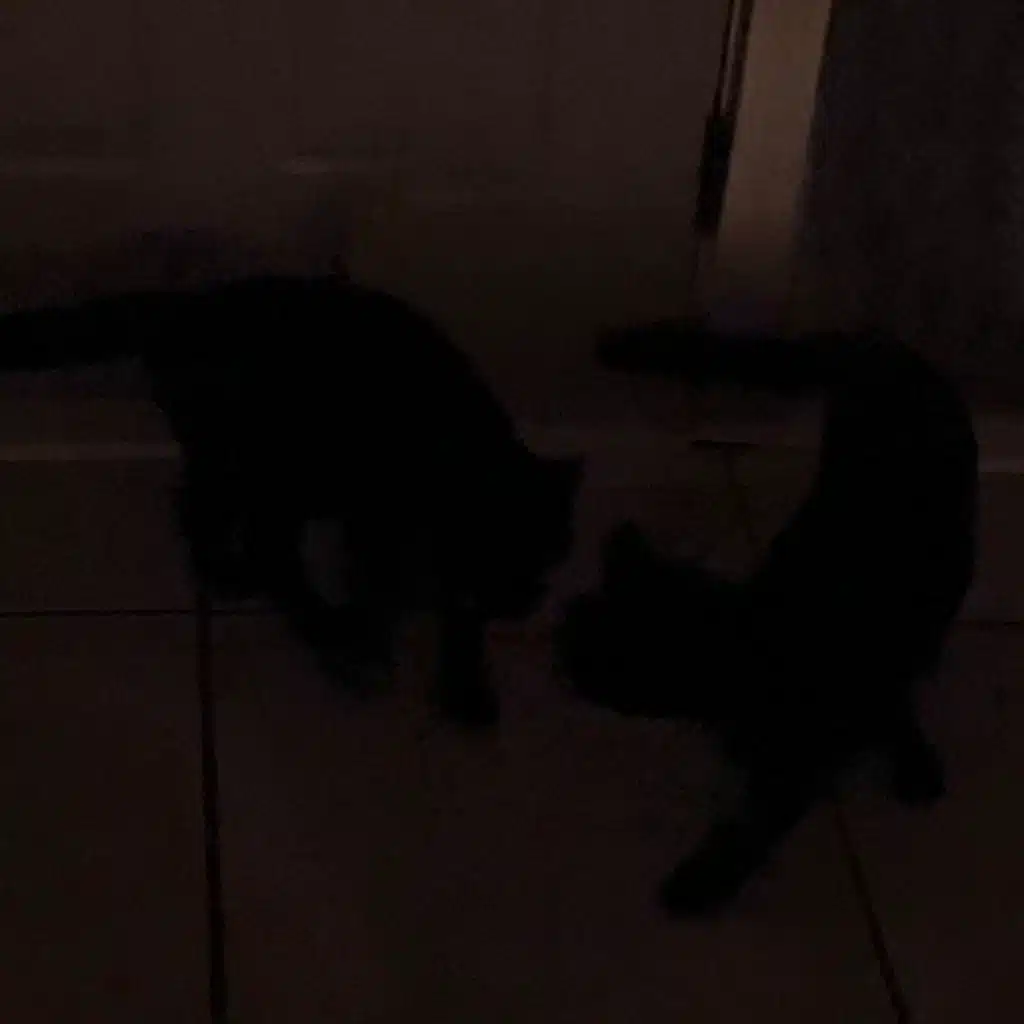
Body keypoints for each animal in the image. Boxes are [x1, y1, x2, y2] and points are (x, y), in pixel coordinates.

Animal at [0, 274, 582, 726]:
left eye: (552, 551)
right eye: (509, 552)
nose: (526, 600)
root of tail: (190, 302)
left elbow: (458, 616)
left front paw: (467, 688)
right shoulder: (376, 524)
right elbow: (380, 592)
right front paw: (368, 646)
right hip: (267, 465)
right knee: (234, 530)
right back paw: (288, 605)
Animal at [555, 323, 977, 915]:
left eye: (587, 637)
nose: (557, 639)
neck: (755, 640)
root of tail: (883, 350)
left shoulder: (799, 758)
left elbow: (752, 828)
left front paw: (699, 885)